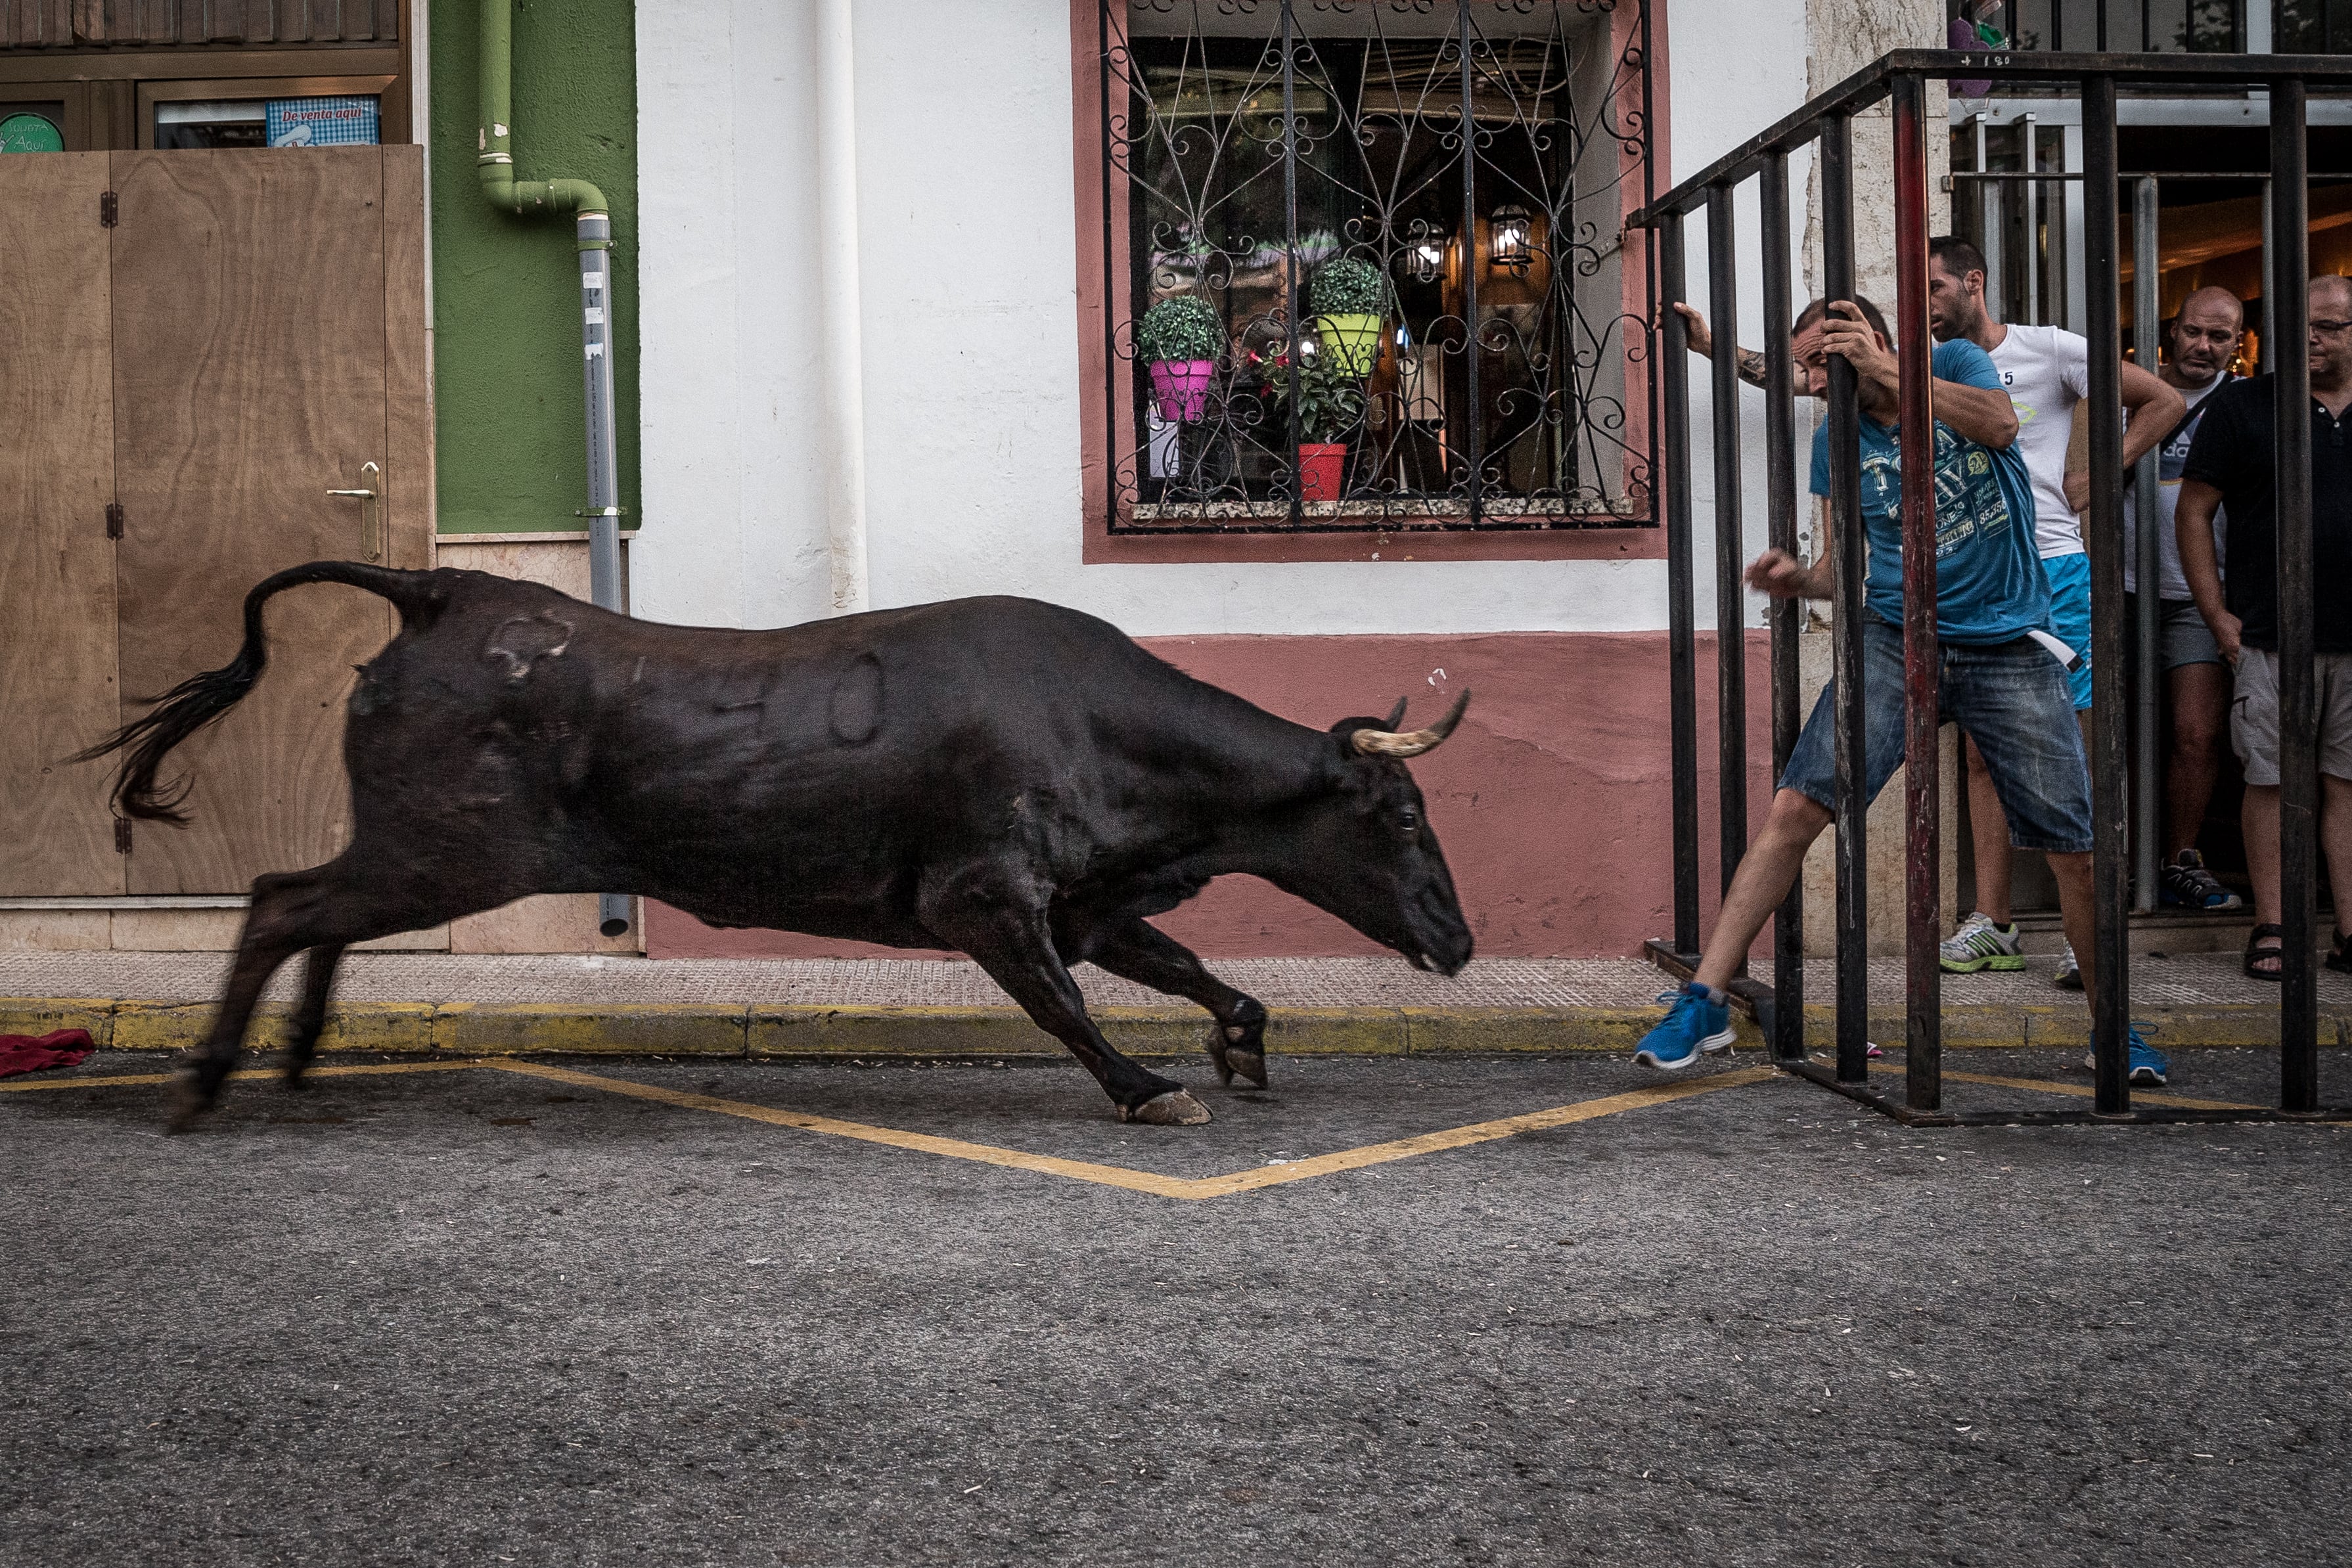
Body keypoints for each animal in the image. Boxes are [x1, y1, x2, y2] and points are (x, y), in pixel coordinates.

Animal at [87, 562, 1467, 1128]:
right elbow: (1065, 1006)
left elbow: (1182, 966)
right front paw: (1149, 1086)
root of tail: (446, 592)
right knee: (281, 901)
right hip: (442, 855)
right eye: (1401, 814)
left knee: (314, 913)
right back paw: (211, 1082)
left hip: (418, 858)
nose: (1458, 941)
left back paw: (296, 1062)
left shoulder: (1083, 899)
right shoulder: (984, 896)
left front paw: (1240, 1039)